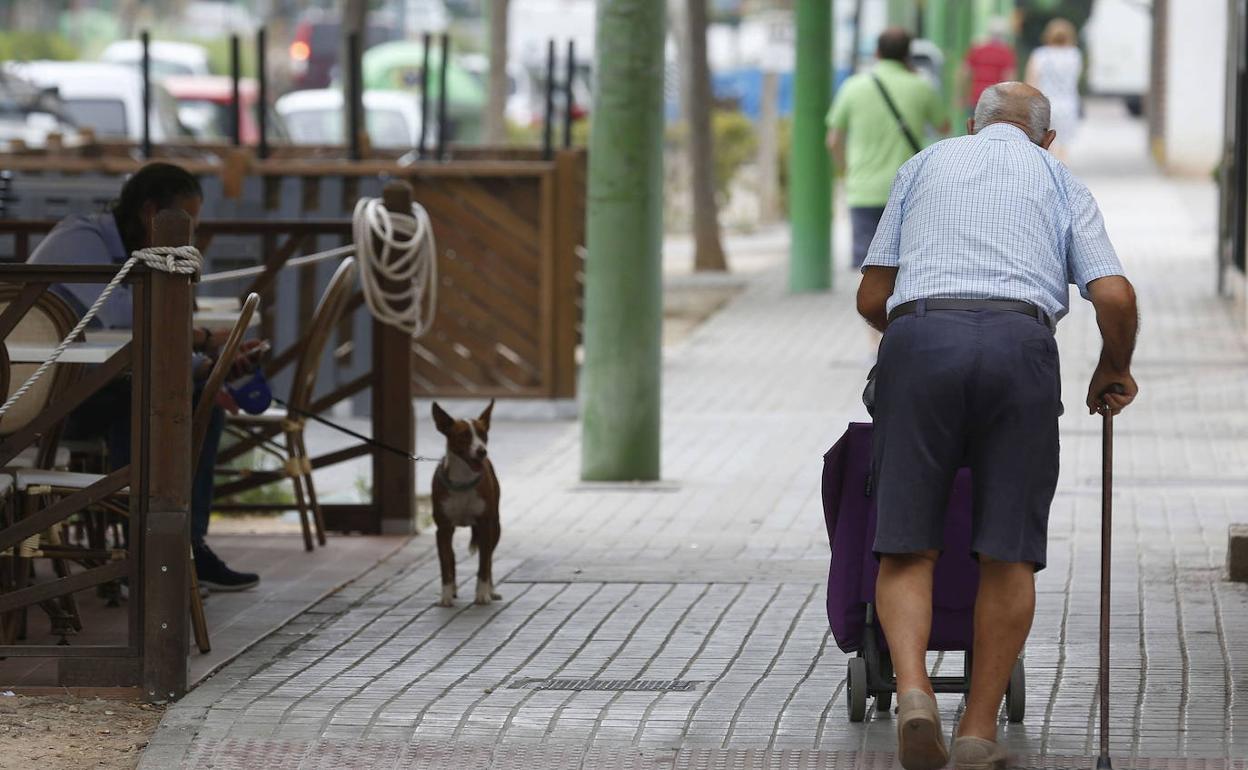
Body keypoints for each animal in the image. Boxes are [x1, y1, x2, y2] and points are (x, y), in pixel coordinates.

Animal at [431, 399, 499, 604]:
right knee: (452, 558)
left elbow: (484, 564)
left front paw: (482, 594)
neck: (463, 481)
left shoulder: (486, 525)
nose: (482, 451)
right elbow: (445, 564)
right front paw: (446, 596)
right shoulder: (443, 528)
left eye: (483, 434)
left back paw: (491, 590)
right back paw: (453, 589)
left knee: (489, 559)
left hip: (496, 527)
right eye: (463, 435)